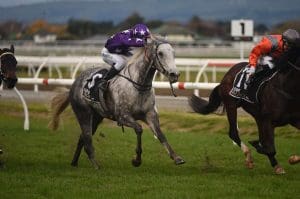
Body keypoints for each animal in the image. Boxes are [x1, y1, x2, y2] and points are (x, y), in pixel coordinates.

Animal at [48, 38, 185, 169]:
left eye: (173, 53)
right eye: (160, 53)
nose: (175, 74)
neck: (138, 86)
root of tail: (74, 84)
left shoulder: (150, 115)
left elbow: (160, 134)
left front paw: (177, 158)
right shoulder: (122, 117)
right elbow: (139, 129)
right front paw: (136, 160)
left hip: (96, 117)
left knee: (82, 138)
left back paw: (74, 162)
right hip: (83, 113)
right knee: (87, 140)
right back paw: (96, 165)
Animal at [190, 45, 300, 173]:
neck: (286, 89)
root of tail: (226, 75)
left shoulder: (294, 120)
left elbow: (267, 145)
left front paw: (292, 159)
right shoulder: (268, 121)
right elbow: (269, 147)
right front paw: (257, 145)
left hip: (255, 114)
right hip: (231, 105)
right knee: (233, 133)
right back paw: (249, 157)